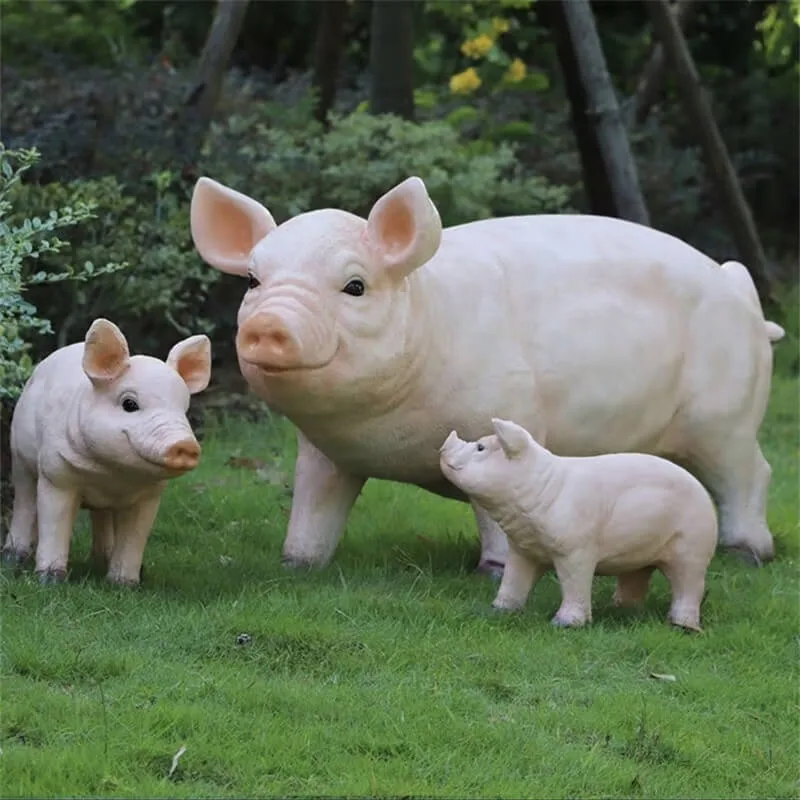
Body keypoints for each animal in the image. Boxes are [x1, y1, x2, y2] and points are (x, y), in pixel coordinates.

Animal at [2, 319, 211, 585]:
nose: (184, 444)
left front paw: (124, 584)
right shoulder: (56, 475)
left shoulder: (149, 495)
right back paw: (14, 559)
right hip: (20, 459)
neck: (113, 475)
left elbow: (134, 536)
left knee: (101, 517)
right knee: (25, 501)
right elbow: (55, 520)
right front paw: (50, 581)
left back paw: (103, 561)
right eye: (129, 404)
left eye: (183, 410)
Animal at [189, 175, 784, 576]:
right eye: (253, 282)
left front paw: (492, 571)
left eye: (354, 286)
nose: (267, 325)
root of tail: (739, 288)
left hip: (725, 415)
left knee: (751, 473)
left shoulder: (508, 416)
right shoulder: (323, 453)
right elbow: (313, 507)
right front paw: (296, 564)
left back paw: (749, 554)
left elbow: (495, 513)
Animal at [439, 419, 718, 631]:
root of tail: (705, 495)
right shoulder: (523, 549)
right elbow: (513, 579)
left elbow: (575, 582)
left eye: (480, 447)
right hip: (642, 554)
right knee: (637, 576)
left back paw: (683, 626)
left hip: (693, 546)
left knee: (689, 584)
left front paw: (563, 624)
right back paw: (620, 608)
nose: (443, 446)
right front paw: (499, 610)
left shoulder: (576, 548)